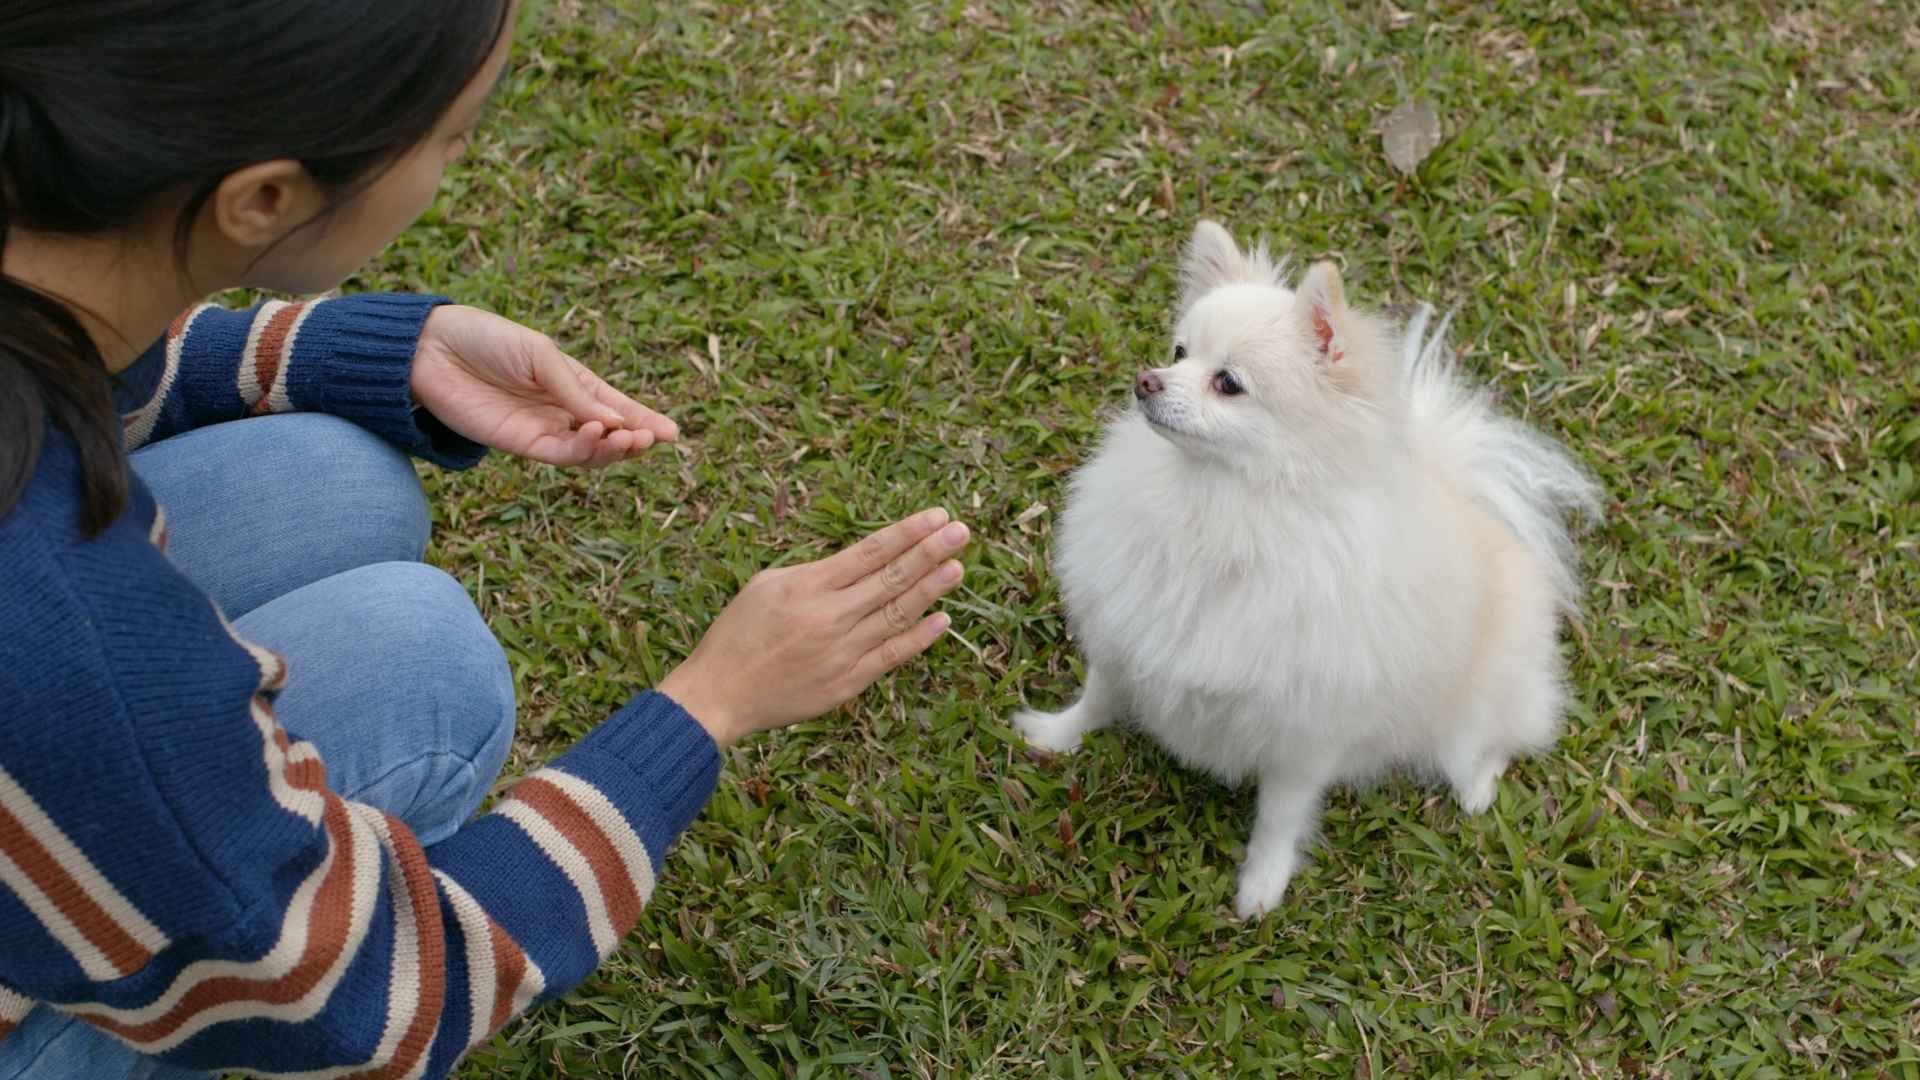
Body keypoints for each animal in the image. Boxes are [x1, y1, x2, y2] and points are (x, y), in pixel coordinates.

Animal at [1013, 220, 1597, 914]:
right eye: (1179, 352)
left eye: (1228, 382)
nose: (1147, 380)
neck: (1225, 505)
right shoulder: (1127, 633)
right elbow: (1098, 696)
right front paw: (1054, 736)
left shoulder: (1306, 730)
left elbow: (1280, 816)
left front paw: (1261, 888)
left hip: (1476, 711)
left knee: (1494, 743)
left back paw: (1477, 787)